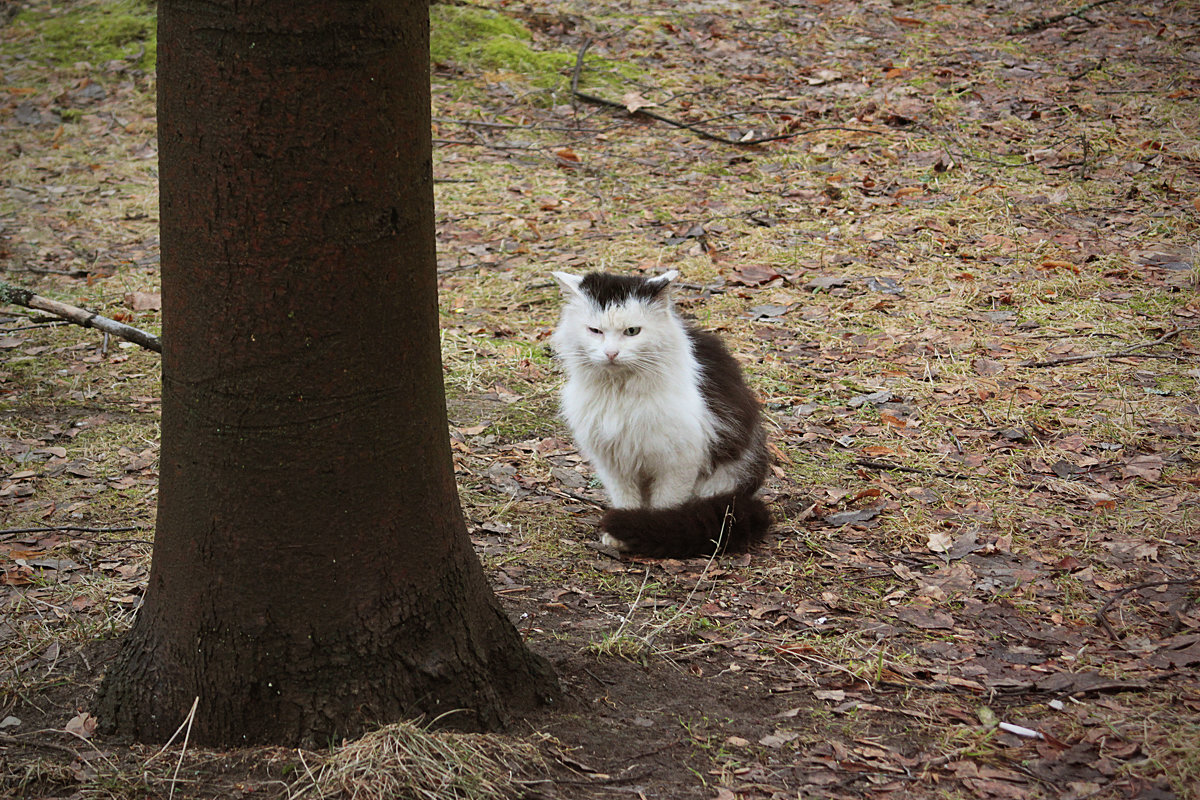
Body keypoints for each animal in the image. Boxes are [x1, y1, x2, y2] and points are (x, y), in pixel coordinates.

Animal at [549, 268, 772, 556]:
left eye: (632, 331)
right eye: (595, 331)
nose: (611, 353)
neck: (619, 393)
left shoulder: (677, 462)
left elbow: (665, 507)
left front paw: (651, 530)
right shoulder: (613, 460)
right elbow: (626, 499)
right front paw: (621, 535)